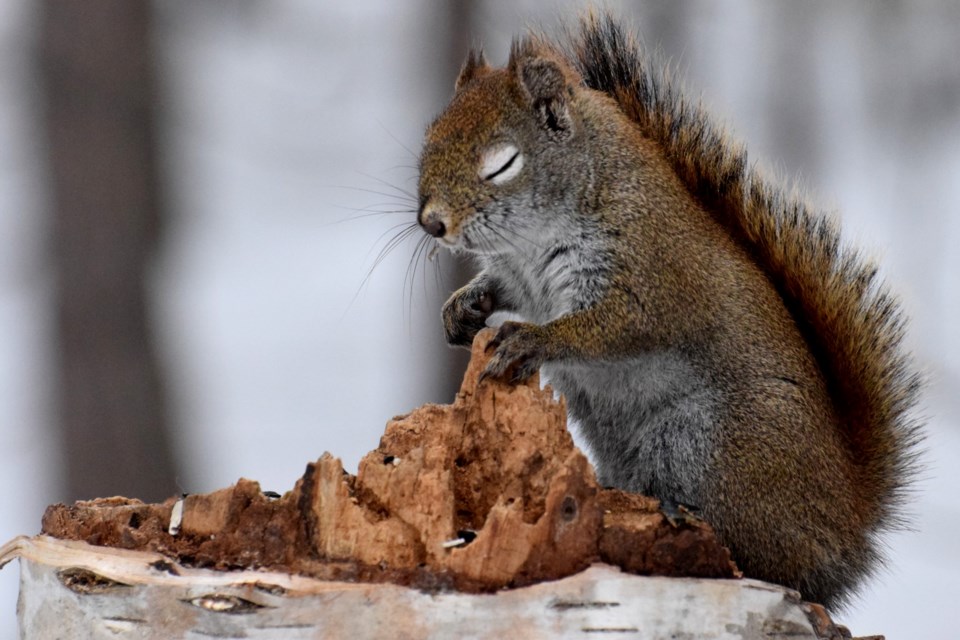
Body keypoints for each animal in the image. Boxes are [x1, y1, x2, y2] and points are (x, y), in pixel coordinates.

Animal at [414, 12, 924, 608]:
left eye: (503, 164)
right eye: (428, 140)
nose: (431, 223)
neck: (534, 238)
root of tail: (846, 537)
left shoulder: (650, 276)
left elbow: (609, 330)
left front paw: (531, 340)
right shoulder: (520, 276)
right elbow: (498, 290)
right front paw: (463, 308)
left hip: (709, 448)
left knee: (759, 554)